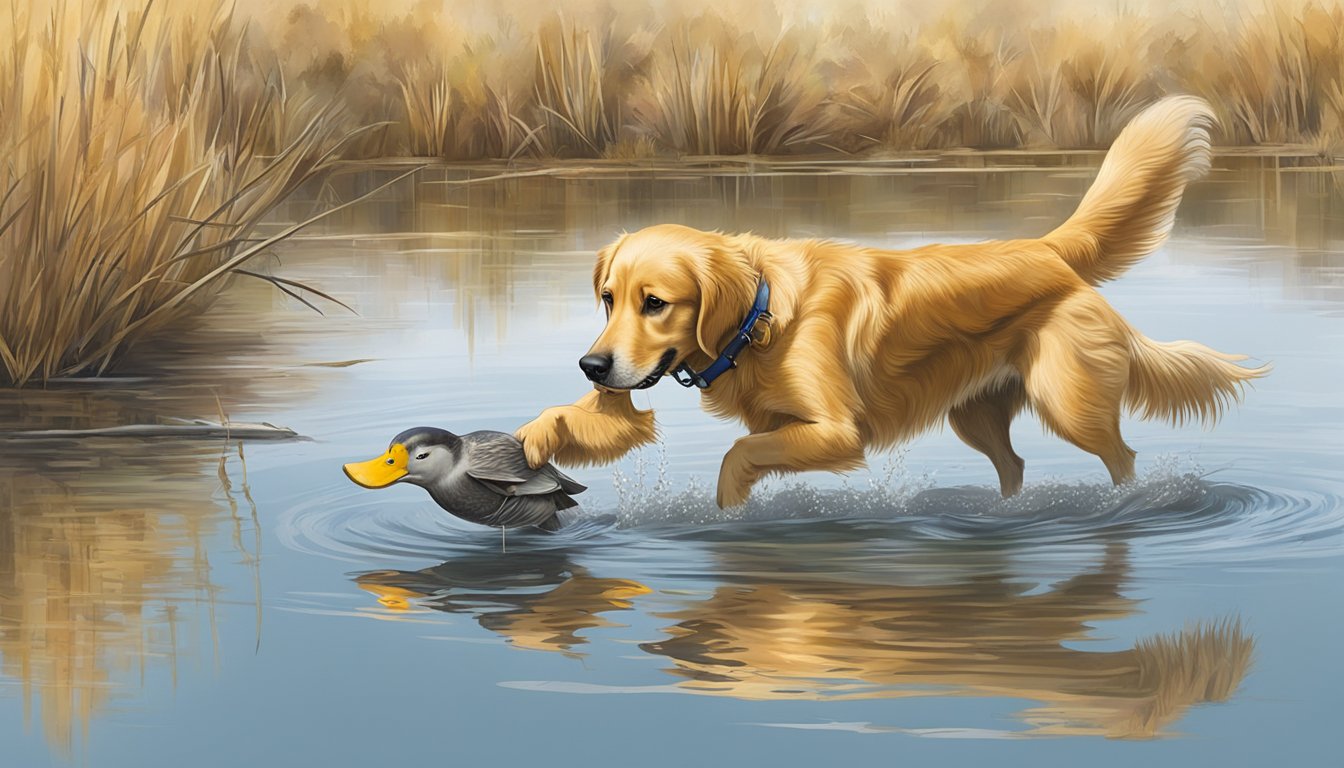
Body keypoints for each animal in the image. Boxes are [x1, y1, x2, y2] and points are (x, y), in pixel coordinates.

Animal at [513, 96, 1268, 508]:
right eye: (607, 299)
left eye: (655, 303)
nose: (591, 367)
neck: (760, 321)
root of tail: (1050, 247)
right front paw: (533, 440)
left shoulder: (837, 432)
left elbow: (738, 453)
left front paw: (729, 515)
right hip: (975, 412)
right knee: (1015, 466)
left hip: (1069, 400)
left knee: (1123, 458)